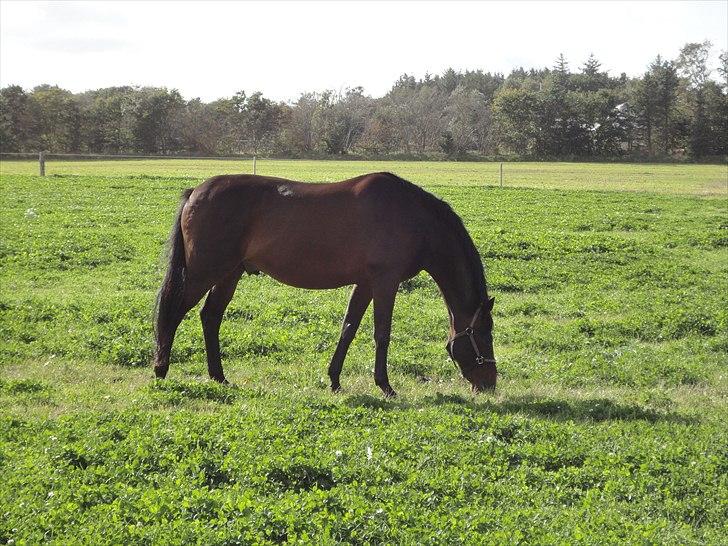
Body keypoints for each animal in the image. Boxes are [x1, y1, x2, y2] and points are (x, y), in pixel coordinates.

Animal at [153, 171, 494, 396]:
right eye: (483, 334)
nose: (490, 382)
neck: (414, 219)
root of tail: (195, 192)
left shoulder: (365, 284)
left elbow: (348, 329)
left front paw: (334, 380)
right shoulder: (385, 281)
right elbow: (382, 333)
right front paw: (385, 386)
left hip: (229, 273)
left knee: (210, 316)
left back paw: (218, 376)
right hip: (204, 271)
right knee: (172, 312)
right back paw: (161, 369)